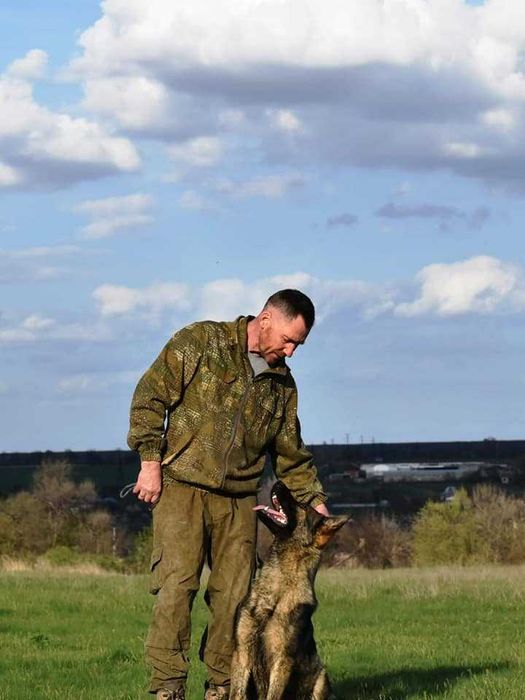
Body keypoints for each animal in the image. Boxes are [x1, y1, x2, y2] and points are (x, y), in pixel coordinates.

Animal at [230, 480, 349, 700]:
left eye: (302, 506)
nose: (279, 482)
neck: (274, 593)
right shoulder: (241, 654)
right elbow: (236, 694)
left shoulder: (282, 660)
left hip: (321, 677)